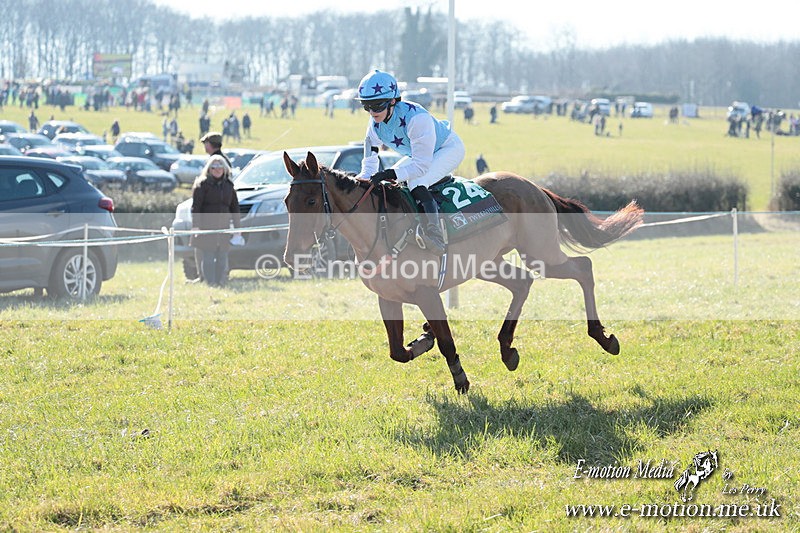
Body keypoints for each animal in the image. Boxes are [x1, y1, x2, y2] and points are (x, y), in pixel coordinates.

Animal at [282, 152, 644, 393]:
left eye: (312, 201)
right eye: (287, 201)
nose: (291, 255)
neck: (382, 229)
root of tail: (535, 187)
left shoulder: (427, 293)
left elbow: (446, 341)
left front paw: (460, 379)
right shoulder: (388, 297)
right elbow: (398, 352)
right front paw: (423, 337)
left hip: (540, 252)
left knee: (583, 268)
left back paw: (603, 337)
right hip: (487, 263)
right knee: (522, 282)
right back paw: (507, 349)